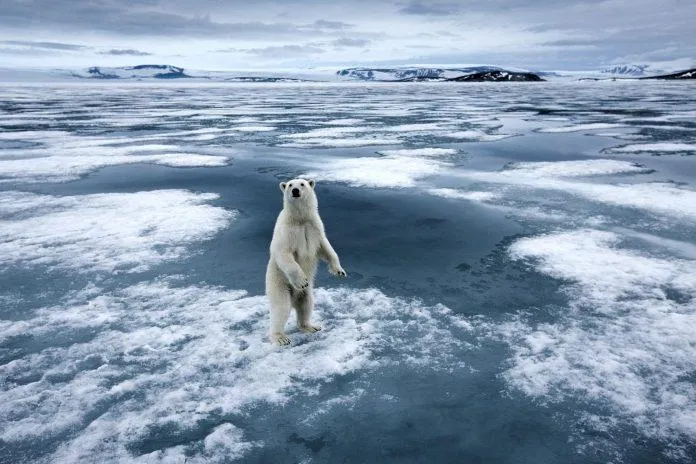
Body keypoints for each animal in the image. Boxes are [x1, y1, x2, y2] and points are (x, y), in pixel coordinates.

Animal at [266, 178, 346, 344]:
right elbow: (283, 253)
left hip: (306, 294)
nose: (295, 191)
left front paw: (339, 271)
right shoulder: (286, 232)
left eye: (302, 184)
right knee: (281, 308)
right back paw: (280, 338)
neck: (299, 220)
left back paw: (310, 326)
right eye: (290, 185)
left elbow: (326, 247)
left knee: (306, 304)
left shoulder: (315, 227)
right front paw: (302, 280)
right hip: (278, 283)